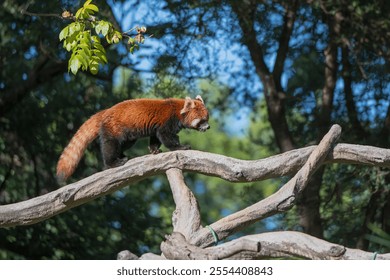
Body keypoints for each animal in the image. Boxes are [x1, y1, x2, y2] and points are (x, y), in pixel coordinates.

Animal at [55, 95, 210, 180]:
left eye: (207, 119)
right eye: (202, 120)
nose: (208, 127)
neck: (178, 111)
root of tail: (105, 111)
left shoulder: (156, 126)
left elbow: (155, 137)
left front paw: (154, 150)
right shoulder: (166, 122)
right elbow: (166, 137)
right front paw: (181, 146)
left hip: (127, 135)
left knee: (124, 144)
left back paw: (121, 155)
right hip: (114, 128)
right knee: (110, 145)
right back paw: (113, 162)